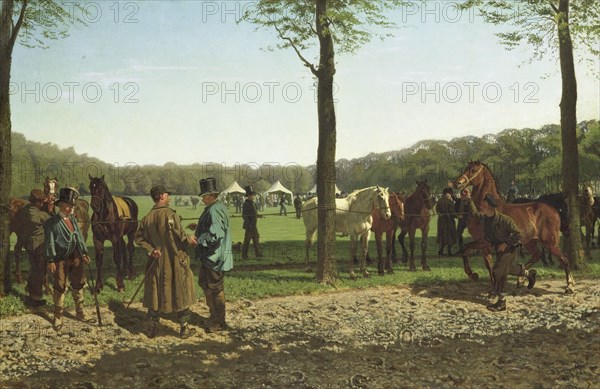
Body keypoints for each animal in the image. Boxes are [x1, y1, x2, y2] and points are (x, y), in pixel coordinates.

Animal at [452, 160, 576, 292]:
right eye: (465, 168)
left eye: (473, 170)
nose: (458, 183)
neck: (487, 208)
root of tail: (554, 211)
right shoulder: (483, 242)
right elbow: (486, 262)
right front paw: (487, 283)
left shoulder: (484, 241)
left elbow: (467, 250)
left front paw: (473, 274)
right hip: (529, 242)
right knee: (537, 255)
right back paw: (522, 279)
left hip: (549, 242)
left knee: (564, 258)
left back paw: (569, 285)